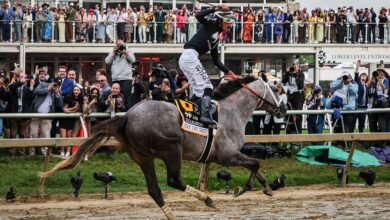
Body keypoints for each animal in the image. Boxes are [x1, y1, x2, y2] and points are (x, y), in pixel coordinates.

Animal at [40, 75, 286, 218]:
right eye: (278, 88)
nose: (284, 110)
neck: (231, 111)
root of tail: (127, 116)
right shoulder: (226, 155)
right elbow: (255, 162)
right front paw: (242, 189)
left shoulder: (229, 155)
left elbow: (255, 165)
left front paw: (267, 187)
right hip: (171, 148)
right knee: (173, 180)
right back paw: (207, 200)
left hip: (142, 157)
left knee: (155, 190)